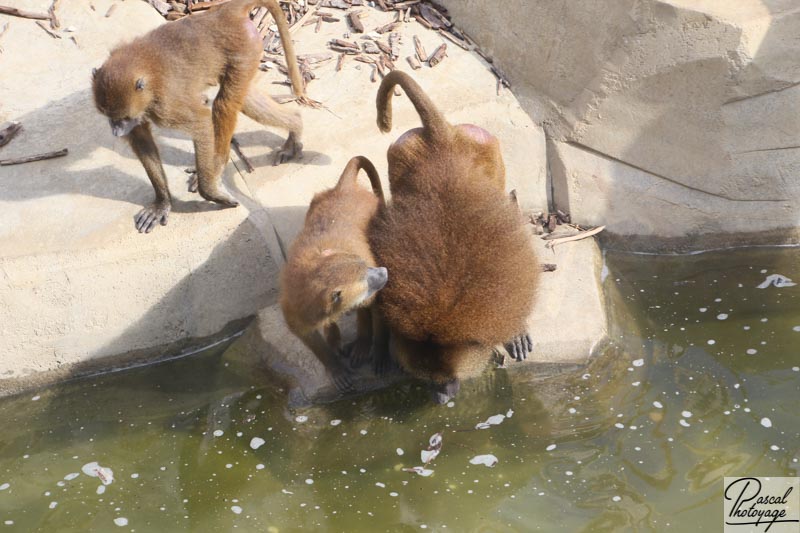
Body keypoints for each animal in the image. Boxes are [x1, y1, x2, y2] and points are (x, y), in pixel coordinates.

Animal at [90, 0, 310, 233]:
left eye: (122, 118)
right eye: (109, 116)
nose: (116, 131)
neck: (145, 72)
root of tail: (223, 13)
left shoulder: (165, 106)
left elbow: (202, 122)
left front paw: (210, 192)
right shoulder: (140, 113)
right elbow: (142, 141)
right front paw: (162, 203)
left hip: (244, 50)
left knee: (224, 104)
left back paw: (216, 167)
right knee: (245, 100)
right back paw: (296, 125)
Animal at [282, 154, 390, 390]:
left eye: (366, 266)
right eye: (366, 277)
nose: (383, 272)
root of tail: (345, 189)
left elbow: (375, 305)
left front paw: (379, 352)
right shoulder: (294, 306)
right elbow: (307, 335)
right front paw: (335, 367)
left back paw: (362, 343)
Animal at [368, 71, 536, 404]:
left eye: (449, 380)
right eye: (428, 380)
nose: (441, 399)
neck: (442, 306)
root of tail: (443, 140)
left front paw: (515, 333)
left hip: (480, 146)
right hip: (407, 151)